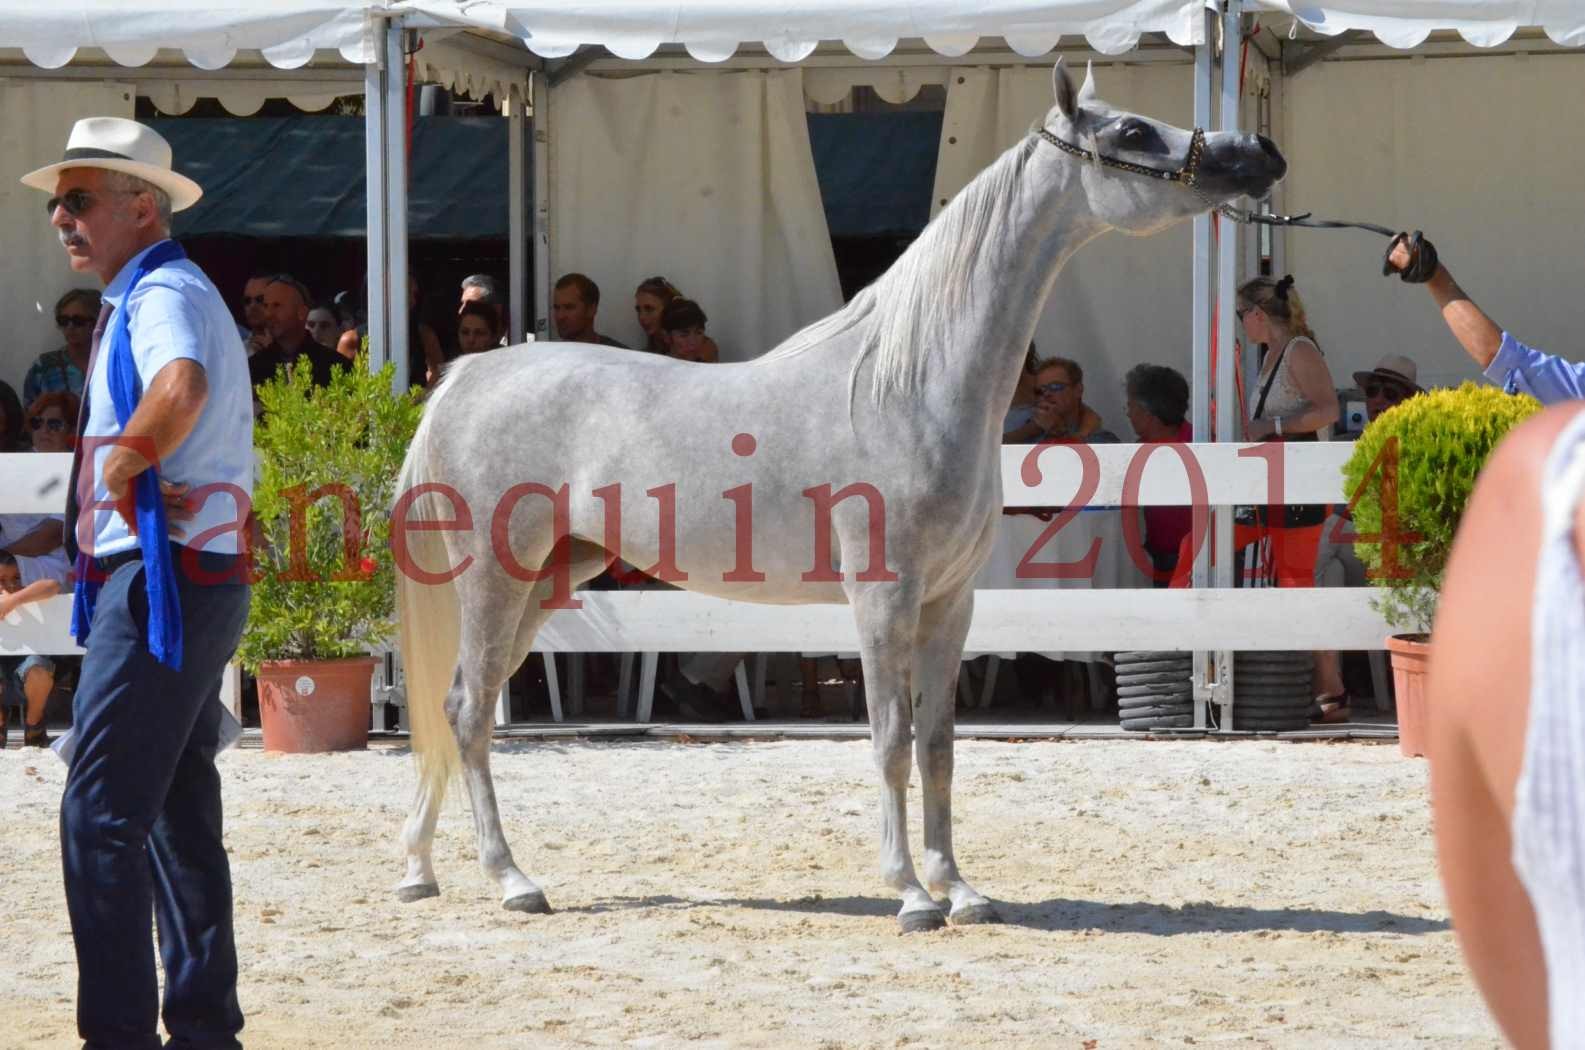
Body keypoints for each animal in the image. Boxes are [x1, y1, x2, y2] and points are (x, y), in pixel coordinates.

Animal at [393, 61, 1287, 938]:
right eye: (1132, 130)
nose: (1258, 153)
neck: (908, 384)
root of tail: (466, 377)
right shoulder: (882, 599)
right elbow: (889, 739)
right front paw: (912, 896)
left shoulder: (950, 604)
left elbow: (938, 746)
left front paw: (960, 889)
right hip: (495, 580)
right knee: (468, 712)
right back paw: (510, 880)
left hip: (547, 581)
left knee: (454, 704)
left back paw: (419, 872)